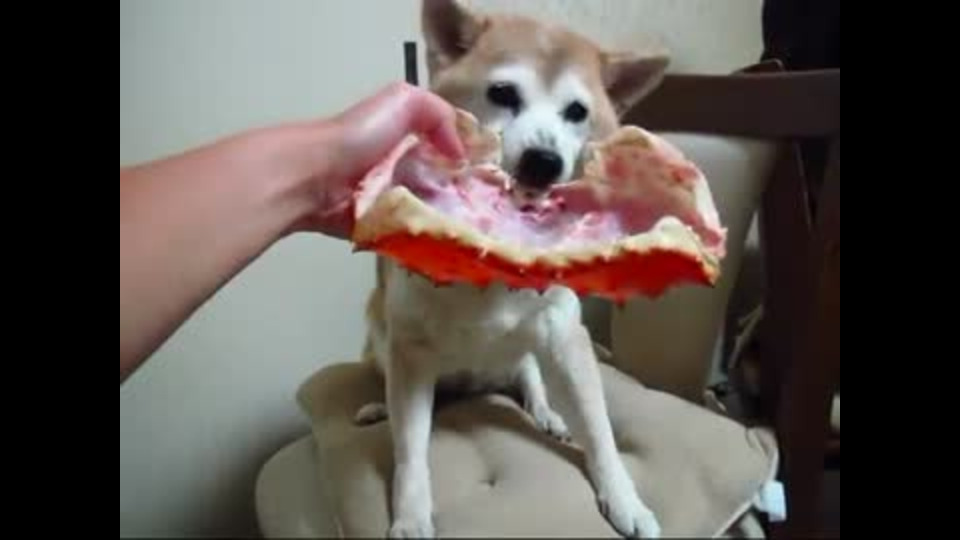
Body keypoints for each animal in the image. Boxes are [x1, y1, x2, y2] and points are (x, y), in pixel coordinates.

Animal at [357, 0, 669, 537]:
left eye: (577, 112)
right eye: (502, 93)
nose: (543, 160)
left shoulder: (564, 336)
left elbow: (601, 434)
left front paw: (625, 500)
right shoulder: (410, 348)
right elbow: (410, 451)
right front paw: (412, 514)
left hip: (531, 347)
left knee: (530, 377)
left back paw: (547, 413)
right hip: (382, 336)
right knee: (394, 392)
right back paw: (379, 407)